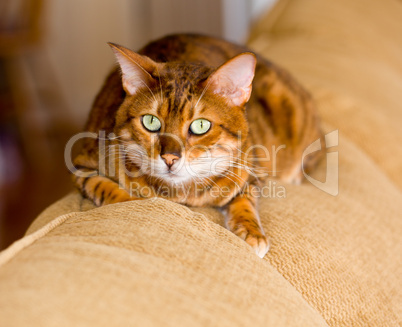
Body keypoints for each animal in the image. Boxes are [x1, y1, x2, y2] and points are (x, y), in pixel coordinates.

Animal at [72, 33, 324, 258]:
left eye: (200, 125)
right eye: (150, 121)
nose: (170, 158)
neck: (183, 194)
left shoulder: (250, 169)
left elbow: (245, 198)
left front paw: (252, 232)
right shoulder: (81, 163)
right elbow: (103, 186)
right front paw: (132, 202)